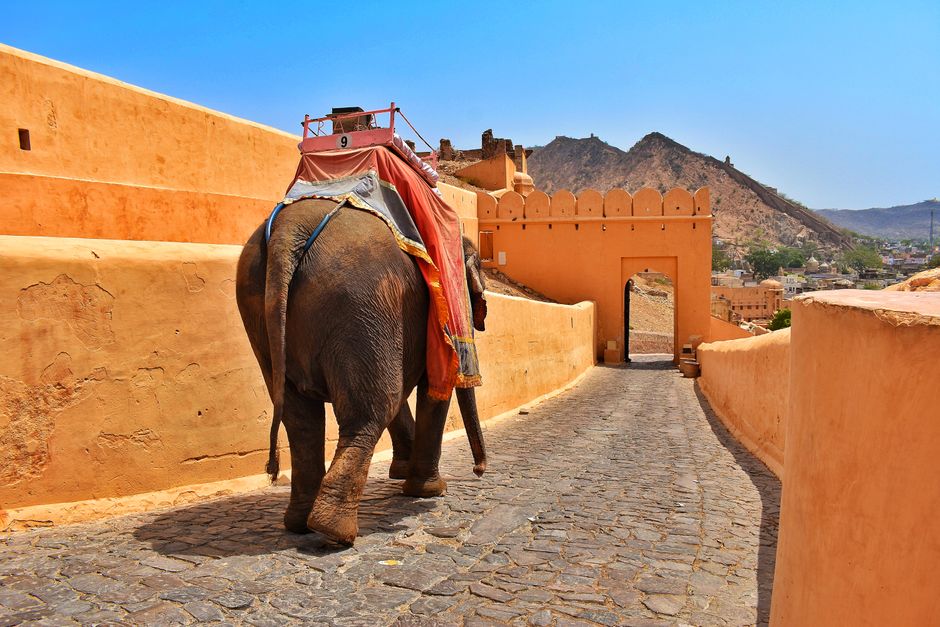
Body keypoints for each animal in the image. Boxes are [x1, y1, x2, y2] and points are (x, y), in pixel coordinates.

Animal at [235, 197, 488, 545]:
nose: (479, 471)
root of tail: (288, 232)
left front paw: (402, 472)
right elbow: (431, 390)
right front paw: (429, 490)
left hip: (260, 309)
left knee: (301, 420)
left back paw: (300, 524)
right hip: (359, 304)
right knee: (371, 409)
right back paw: (333, 530)